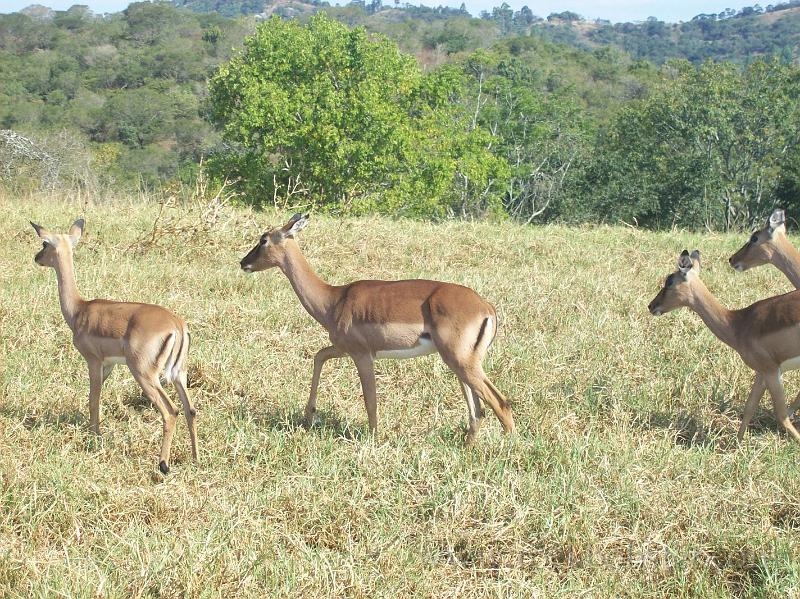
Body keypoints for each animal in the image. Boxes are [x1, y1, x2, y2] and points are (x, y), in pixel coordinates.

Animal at [31, 218, 197, 476]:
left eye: (44, 243)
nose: (37, 258)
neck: (79, 310)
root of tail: (176, 324)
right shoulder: (108, 366)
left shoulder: (93, 361)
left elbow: (93, 398)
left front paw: (94, 437)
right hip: (179, 374)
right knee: (190, 410)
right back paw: (195, 459)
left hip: (144, 374)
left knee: (171, 411)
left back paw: (163, 465)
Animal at [239, 213, 512, 442]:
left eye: (263, 239)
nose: (243, 262)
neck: (334, 299)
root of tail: (486, 307)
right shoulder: (342, 349)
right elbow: (319, 356)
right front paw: (309, 414)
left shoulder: (362, 355)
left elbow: (370, 400)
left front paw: (372, 439)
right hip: (460, 364)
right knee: (478, 411)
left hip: (461, 362)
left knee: (500, 403)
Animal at [648, 250, 800, 446]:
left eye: (669, 281)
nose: (651, 306)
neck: (736, 323)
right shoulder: (761, 372)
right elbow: (749, 407)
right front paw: (737, 445)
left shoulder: (772, 371)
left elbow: (781, 415)